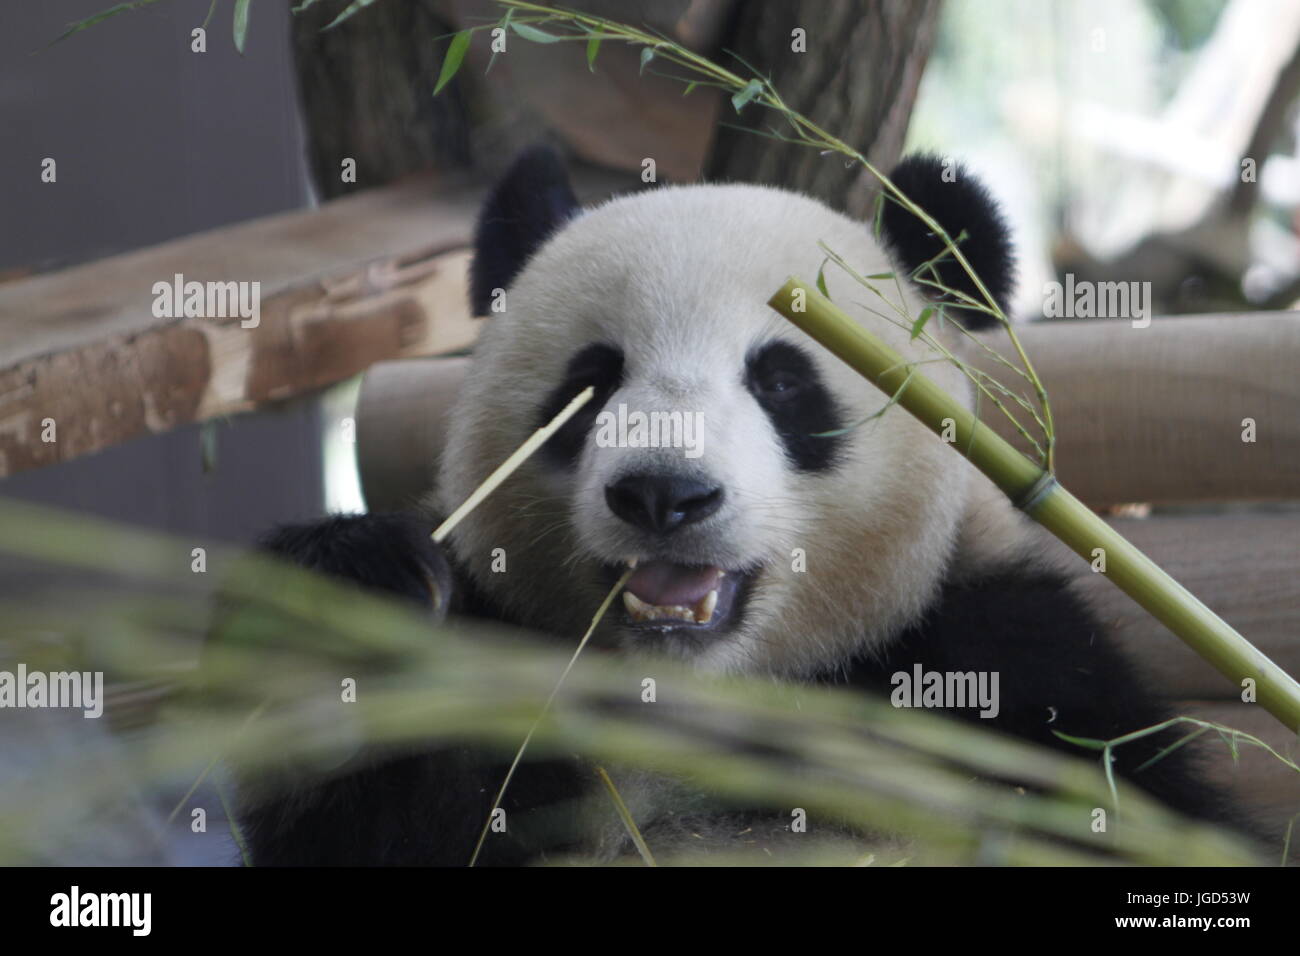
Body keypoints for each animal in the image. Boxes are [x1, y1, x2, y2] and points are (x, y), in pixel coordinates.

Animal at [239, 143, 1242, 868]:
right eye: (590, 381)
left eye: (783, 381)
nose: (664, 493)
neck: (713, 693)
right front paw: (357, 584)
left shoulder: (1007, 660)